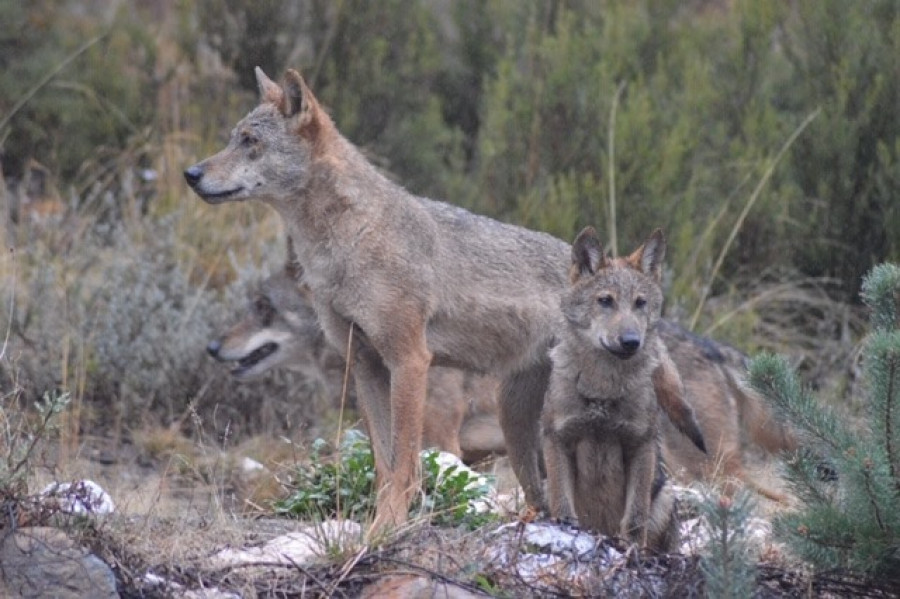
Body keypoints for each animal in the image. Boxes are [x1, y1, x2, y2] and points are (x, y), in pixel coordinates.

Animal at [544, 227, 680, 552]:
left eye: (640, 303)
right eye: (605, 301)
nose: (631, 341)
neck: (602, 389)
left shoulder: (640, 446)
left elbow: (634, 519)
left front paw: (631, 551)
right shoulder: (557, 440)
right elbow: (563, 507)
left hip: (666, 495)